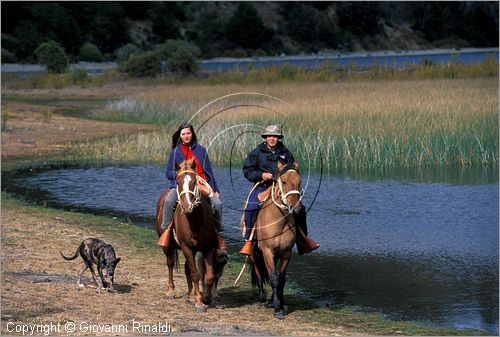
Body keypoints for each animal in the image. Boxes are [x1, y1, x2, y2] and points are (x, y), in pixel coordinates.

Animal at [155, 160, 220, 310]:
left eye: (194, 182)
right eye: (178, 182)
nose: (187, 206)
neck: (195, 222)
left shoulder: (208, 248)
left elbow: (209, 276)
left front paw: (206, 297)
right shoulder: (186, 247)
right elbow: (195, 274)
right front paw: (199, 301)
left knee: (186, 269)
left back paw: (190, 295)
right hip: (168, 247)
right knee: (170, 263)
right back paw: (171, 291)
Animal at [246, 160, 300, 318]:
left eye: (299, 181)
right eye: (284, 181)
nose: (295, 207)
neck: (279, 221)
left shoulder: (286, 253)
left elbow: (281, 279)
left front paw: (280, 304)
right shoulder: (267, 251)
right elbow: (274, 279)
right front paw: (277, 310)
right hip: (254, 253)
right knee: (258, 272)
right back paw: (262, 299)